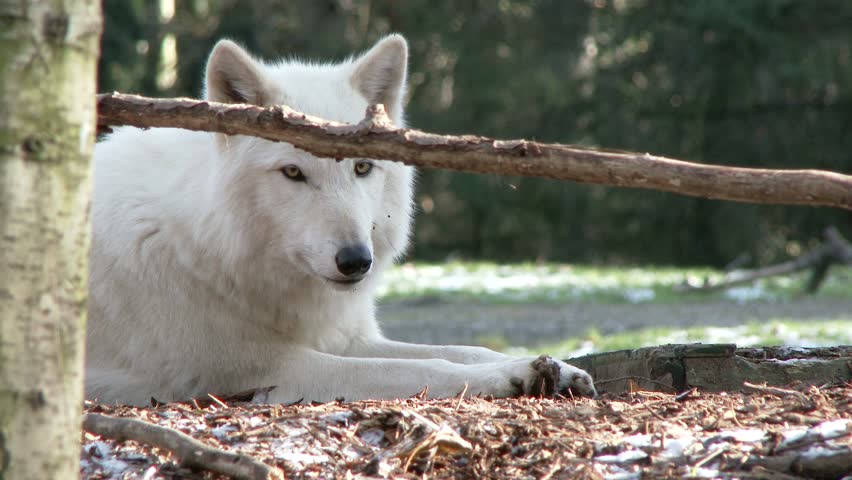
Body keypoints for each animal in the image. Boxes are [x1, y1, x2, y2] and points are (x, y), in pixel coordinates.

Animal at [85, 35, 596, 405]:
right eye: (293, 173)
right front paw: (511, 377)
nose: (355, 261)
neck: (204, 249)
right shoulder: (269, 368)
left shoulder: (345, 337)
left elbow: (462, 350)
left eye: (362, 167)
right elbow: (419, 368)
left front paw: (549, 368)